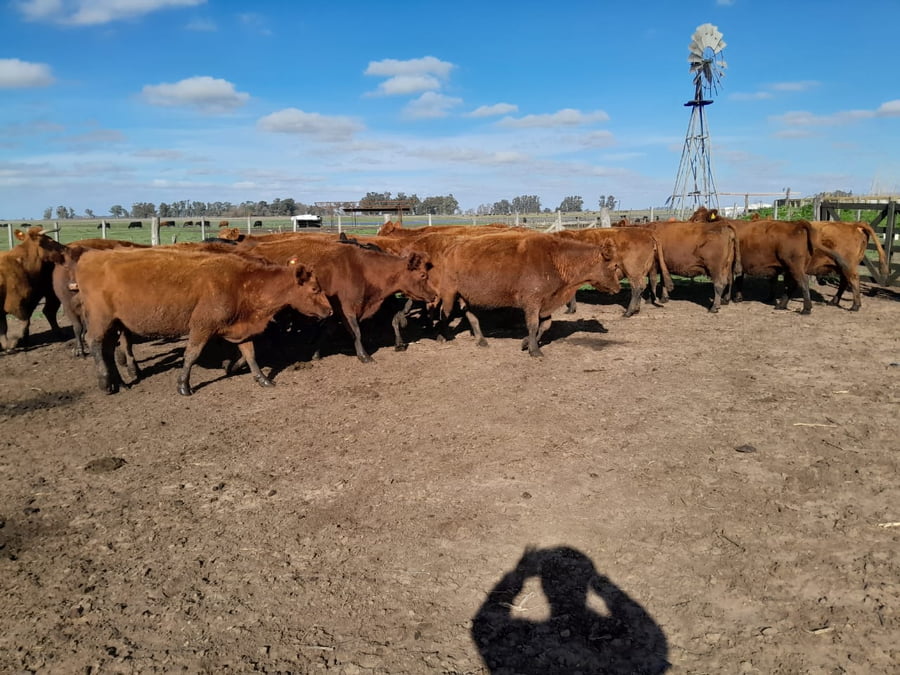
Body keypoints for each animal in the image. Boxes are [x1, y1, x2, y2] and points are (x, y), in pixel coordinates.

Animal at [73, 247, 332, 395]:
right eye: (315, 289)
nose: (329, 311)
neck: (241, 283)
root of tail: (90, 256)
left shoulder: (241, 328)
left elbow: (250, 355)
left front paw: (263, 379)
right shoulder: (201, 326)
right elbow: (191, 354)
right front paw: (183, 385)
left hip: (115, 324)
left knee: (107, 350)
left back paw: (119, 383)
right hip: (101, 320)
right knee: (95, 343)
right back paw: (105, 382)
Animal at [245, 237, 437, 362]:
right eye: (423, 275)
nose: (434, 294)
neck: (362, 270)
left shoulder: (334, 311)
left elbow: (327, 331)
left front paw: (316, 353)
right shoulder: (347, 309)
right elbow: (356, 332)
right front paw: (364, 355)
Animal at [431, 231, 620, 356]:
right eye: (614, 266)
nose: (618, 288)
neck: (555, 259)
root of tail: (450, 248)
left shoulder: (546, 303)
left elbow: (545, 325)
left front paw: (525, 343)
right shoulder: (532, 303)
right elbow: (533, 325)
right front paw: (534, 350)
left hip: (467, 298)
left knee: (471, 316)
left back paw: (481, 340)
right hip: (449, 295)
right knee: (444, 314)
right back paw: (441, 337)